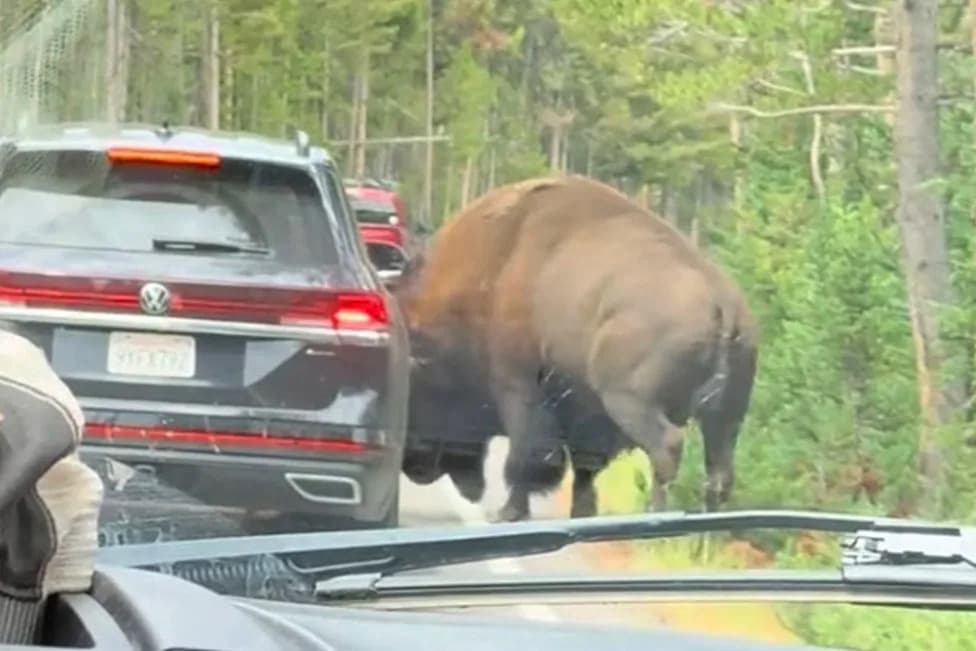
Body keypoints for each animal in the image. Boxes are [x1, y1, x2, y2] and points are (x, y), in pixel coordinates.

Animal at [396, 175, 757, 521]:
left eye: (420, 390)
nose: (413, 466)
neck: (496, 268)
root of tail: (722, 302)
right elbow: (585, 467)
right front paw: (582, 512)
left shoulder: (518, 387)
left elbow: (528, 455)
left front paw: (510, 513)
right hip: (727, 417)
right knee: (720, 471)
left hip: (629, 400)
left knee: (667, 447)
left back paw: (656, 514)